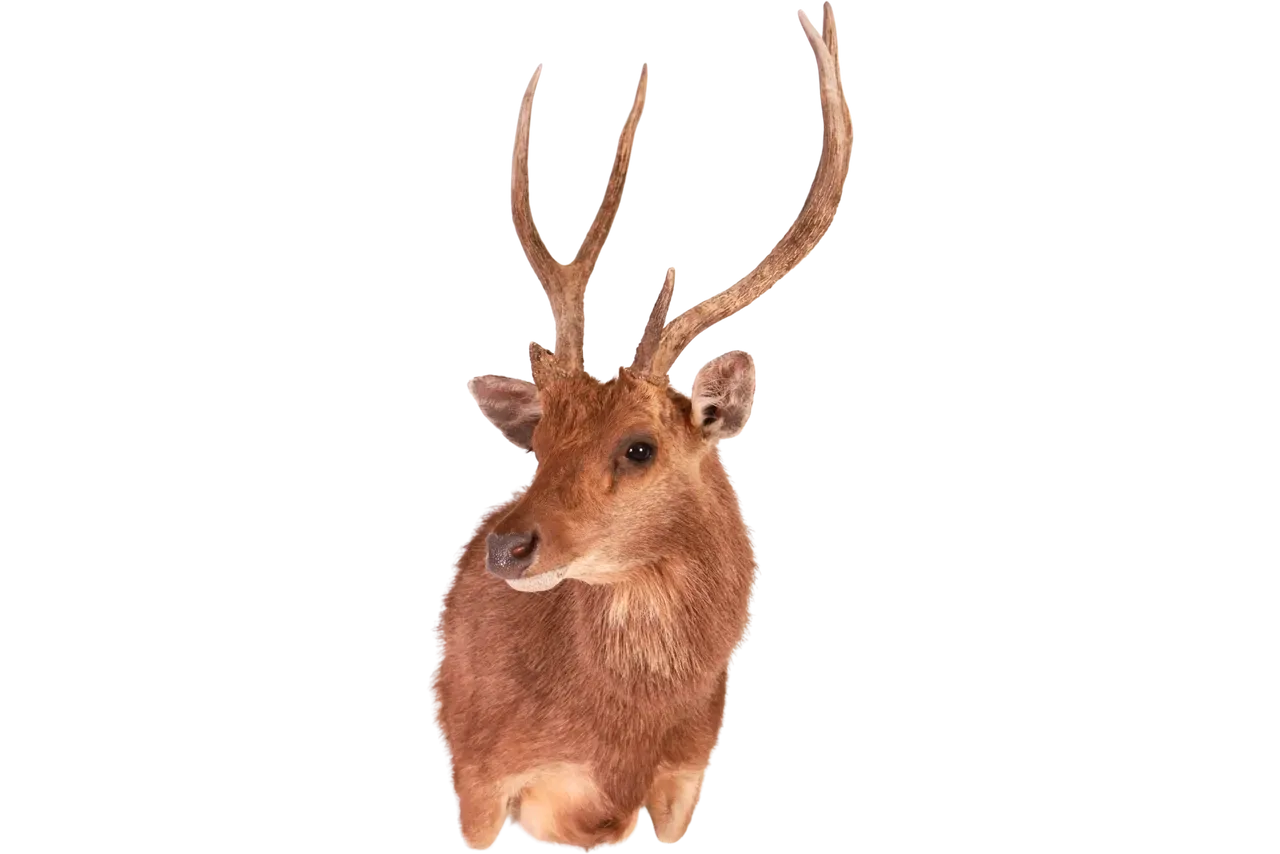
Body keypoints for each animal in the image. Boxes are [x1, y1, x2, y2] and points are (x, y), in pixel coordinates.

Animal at [429, 2, 853, 851]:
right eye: (537, 446)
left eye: (640, 447)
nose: (506, 548)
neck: (617, 737)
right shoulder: (482, 774)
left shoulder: (689, 775)